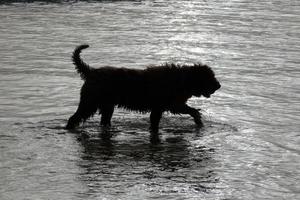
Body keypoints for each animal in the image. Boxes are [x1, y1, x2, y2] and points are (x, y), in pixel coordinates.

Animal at [65, 44, 220, 134]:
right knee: (74, 118)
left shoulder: (172, 105)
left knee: (104, 121)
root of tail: (91, 72)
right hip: (90, 103)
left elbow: (190, 110)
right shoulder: (161, 107)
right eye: (210, 77)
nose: (219, 86)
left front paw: (198, 119)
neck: (182, 79)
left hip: (107, 106)